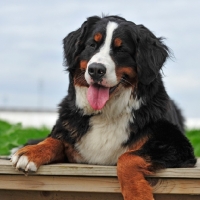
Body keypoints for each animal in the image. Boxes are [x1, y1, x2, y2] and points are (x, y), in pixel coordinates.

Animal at [10, 15, 195, 200]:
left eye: (121, 49)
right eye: (92, 45)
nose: (96, 70)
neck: (106, 113)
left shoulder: (176, 144)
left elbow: (127, 158)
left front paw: (137, 194)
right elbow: (55, 139)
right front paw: (31, 152)